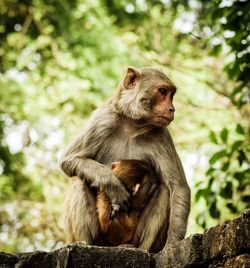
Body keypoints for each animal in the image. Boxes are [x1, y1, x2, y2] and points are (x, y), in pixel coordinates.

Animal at [61, 67, 190, 253]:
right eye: (163, 91)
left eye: (171, 94)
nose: (172, 109)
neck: (132, 124)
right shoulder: (102, 121)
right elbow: (70, 159)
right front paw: (114, 186)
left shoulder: (162, 135)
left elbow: (177, 187)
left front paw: (173, 244)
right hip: (101, 239)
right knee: (77, 180)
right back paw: (84, 243)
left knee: (165, 191)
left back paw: (139, 248)